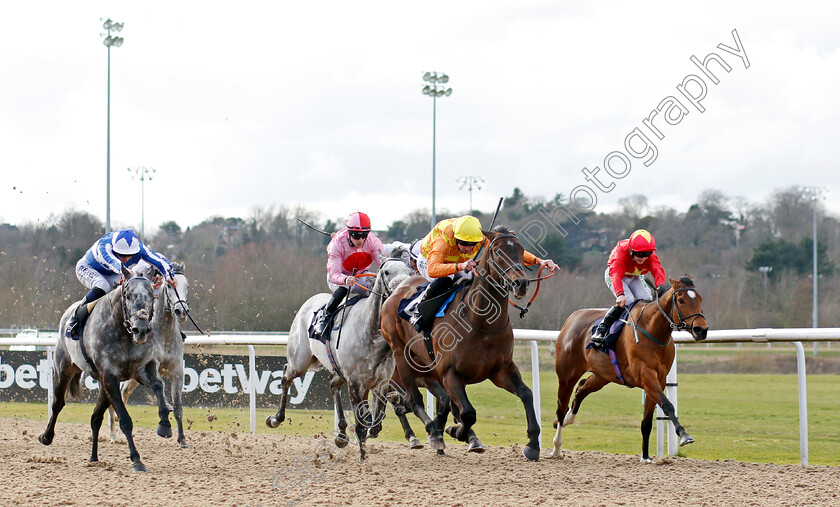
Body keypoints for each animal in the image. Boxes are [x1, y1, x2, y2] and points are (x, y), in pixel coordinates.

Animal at [38, 268, 171, 474]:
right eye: (128, 295)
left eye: (152, 296)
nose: (140, 330)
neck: (122, 331)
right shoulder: (110, 376)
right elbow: (124, 420)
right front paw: (137, 460)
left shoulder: (141, 369)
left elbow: (158, 385)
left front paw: (164, 424)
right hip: (65, 369)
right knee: (58, 403)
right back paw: (46, 436)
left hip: (102, 385)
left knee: (95, 416)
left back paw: (94, 457)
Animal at [108, 262, 190, 448]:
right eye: (170, 285)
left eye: (187, 286)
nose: (181, 311)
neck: (165, 333)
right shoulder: (152, 366)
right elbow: (161, 387)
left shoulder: (177, 370)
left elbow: (178, 406)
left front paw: (182, 439)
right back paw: (113, 434)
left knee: (124, 391)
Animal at [266, 258, 414, 460]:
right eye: (386, 272)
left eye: (409, 271)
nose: (403, 291)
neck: (371, 335)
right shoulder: (355, 382)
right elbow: (362, 424)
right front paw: (363, 457)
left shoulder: (381, 381)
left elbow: (375, 422)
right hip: (300, 361)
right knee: (285, 376)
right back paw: (275, 418)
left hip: (336, 369)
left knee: (333, 385)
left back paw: (341, 435)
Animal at [378, 226, 540, 460]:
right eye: (497, 252)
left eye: (521, 250)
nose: (521, 283)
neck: (481, 322)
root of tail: (398, 289)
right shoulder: (450, 373)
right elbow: (468, 413)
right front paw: (456, 431)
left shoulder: (501, 370)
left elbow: (527, 394)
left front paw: (533, 444)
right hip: (401, 356)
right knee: (414, 399)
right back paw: (433, 432)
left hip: (428, 367)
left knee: (440, 403)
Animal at [552, 276, 708, 462]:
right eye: (681, 300)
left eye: (700, 299)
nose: (701, 329)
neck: (653, 330)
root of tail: (570, 319)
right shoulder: (646, 375)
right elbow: (667, 405)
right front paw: (684, 435)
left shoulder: (659, 379)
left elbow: (647, 421)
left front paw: (645, 457)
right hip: (567, 375)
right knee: (561, 408)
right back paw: (556, 447)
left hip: (602, 376)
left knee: (582, 388)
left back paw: (569, 419)